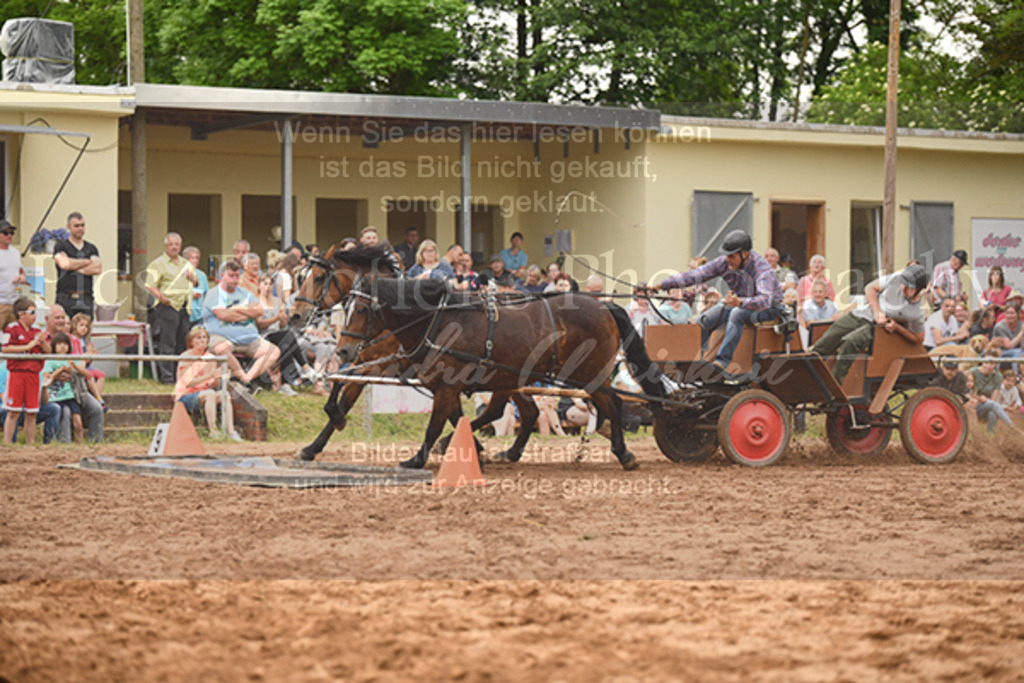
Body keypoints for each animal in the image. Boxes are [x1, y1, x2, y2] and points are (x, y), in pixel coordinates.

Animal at [333, 278, 655, 471]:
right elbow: (461, 420)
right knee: (527, 412)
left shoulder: (447, 388)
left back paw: (624, 454)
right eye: (345, 308)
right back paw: (511, 452)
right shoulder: (449, 387)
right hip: (520, 377)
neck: (442, 319)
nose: (343, 351)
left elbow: (435, 426)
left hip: (589, 374)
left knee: (613, 404)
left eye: (362, 310)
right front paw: (469, 450)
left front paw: (416, 458)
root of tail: (604, 306)